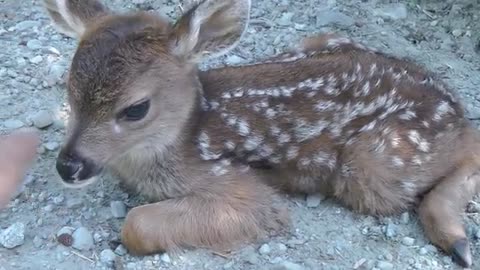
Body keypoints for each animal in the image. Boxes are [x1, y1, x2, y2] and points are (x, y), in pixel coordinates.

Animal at [44, 0, 480, 266]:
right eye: (69, 90)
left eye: (135, 109)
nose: (69, 166)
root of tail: (449, 101)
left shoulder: (237, 185)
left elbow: (135, 224)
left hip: (377, 162)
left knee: (469, 146)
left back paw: (456, 239)